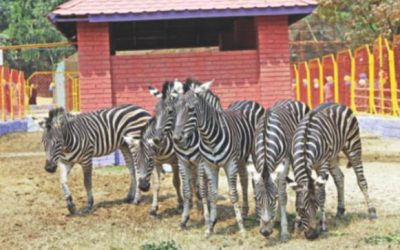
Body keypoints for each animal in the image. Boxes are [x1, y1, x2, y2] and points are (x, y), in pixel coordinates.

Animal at [173, 81, 264, 235]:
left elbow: (231, 194)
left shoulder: (228, 164)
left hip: (253, 153)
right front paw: (209, 226)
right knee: (244, 179)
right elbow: (210, 193)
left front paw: (241, 228)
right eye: (174, 109)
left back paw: (258, 215)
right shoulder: (206, 165)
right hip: (241, 157)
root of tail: (249, 101)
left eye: (191, 109)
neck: (209, 138)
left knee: (255, 179)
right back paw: (245, 212)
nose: (176, 138)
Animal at [247, 99, 312, 242]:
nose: (265, 232)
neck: (266, 139)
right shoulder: (257, 164)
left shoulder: (284, 163)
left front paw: (284, 232)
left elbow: (282, 196)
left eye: (274, 199)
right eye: (256, 199)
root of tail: (291, 100)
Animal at [288, 102, 378, 239]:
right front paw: (297, 226)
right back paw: (340, 210)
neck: (305, 145)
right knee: (340, 177)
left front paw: (323, 226)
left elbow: (322, 195)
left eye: (316, 207)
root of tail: (337, 103)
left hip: (353, 146)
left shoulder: (322, 164)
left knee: (361, 181)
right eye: (302, 209)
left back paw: (372, 212)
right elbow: (299, 194)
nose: (313, 235)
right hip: (332, 157)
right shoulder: (295, 164)